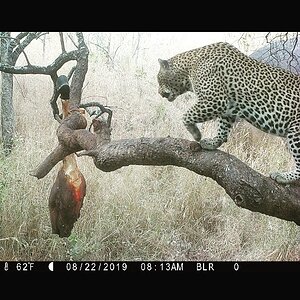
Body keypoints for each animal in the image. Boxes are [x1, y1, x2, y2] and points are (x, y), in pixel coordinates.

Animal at [156, 41, 300, 184]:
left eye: (159, 79)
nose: (159, 92)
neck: (189, 67)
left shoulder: (214, 100)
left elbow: (187, 115)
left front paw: (196, 133)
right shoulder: (227, 107)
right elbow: (223, 127)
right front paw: (213, 143)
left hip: (296, 131)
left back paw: (283, 176)